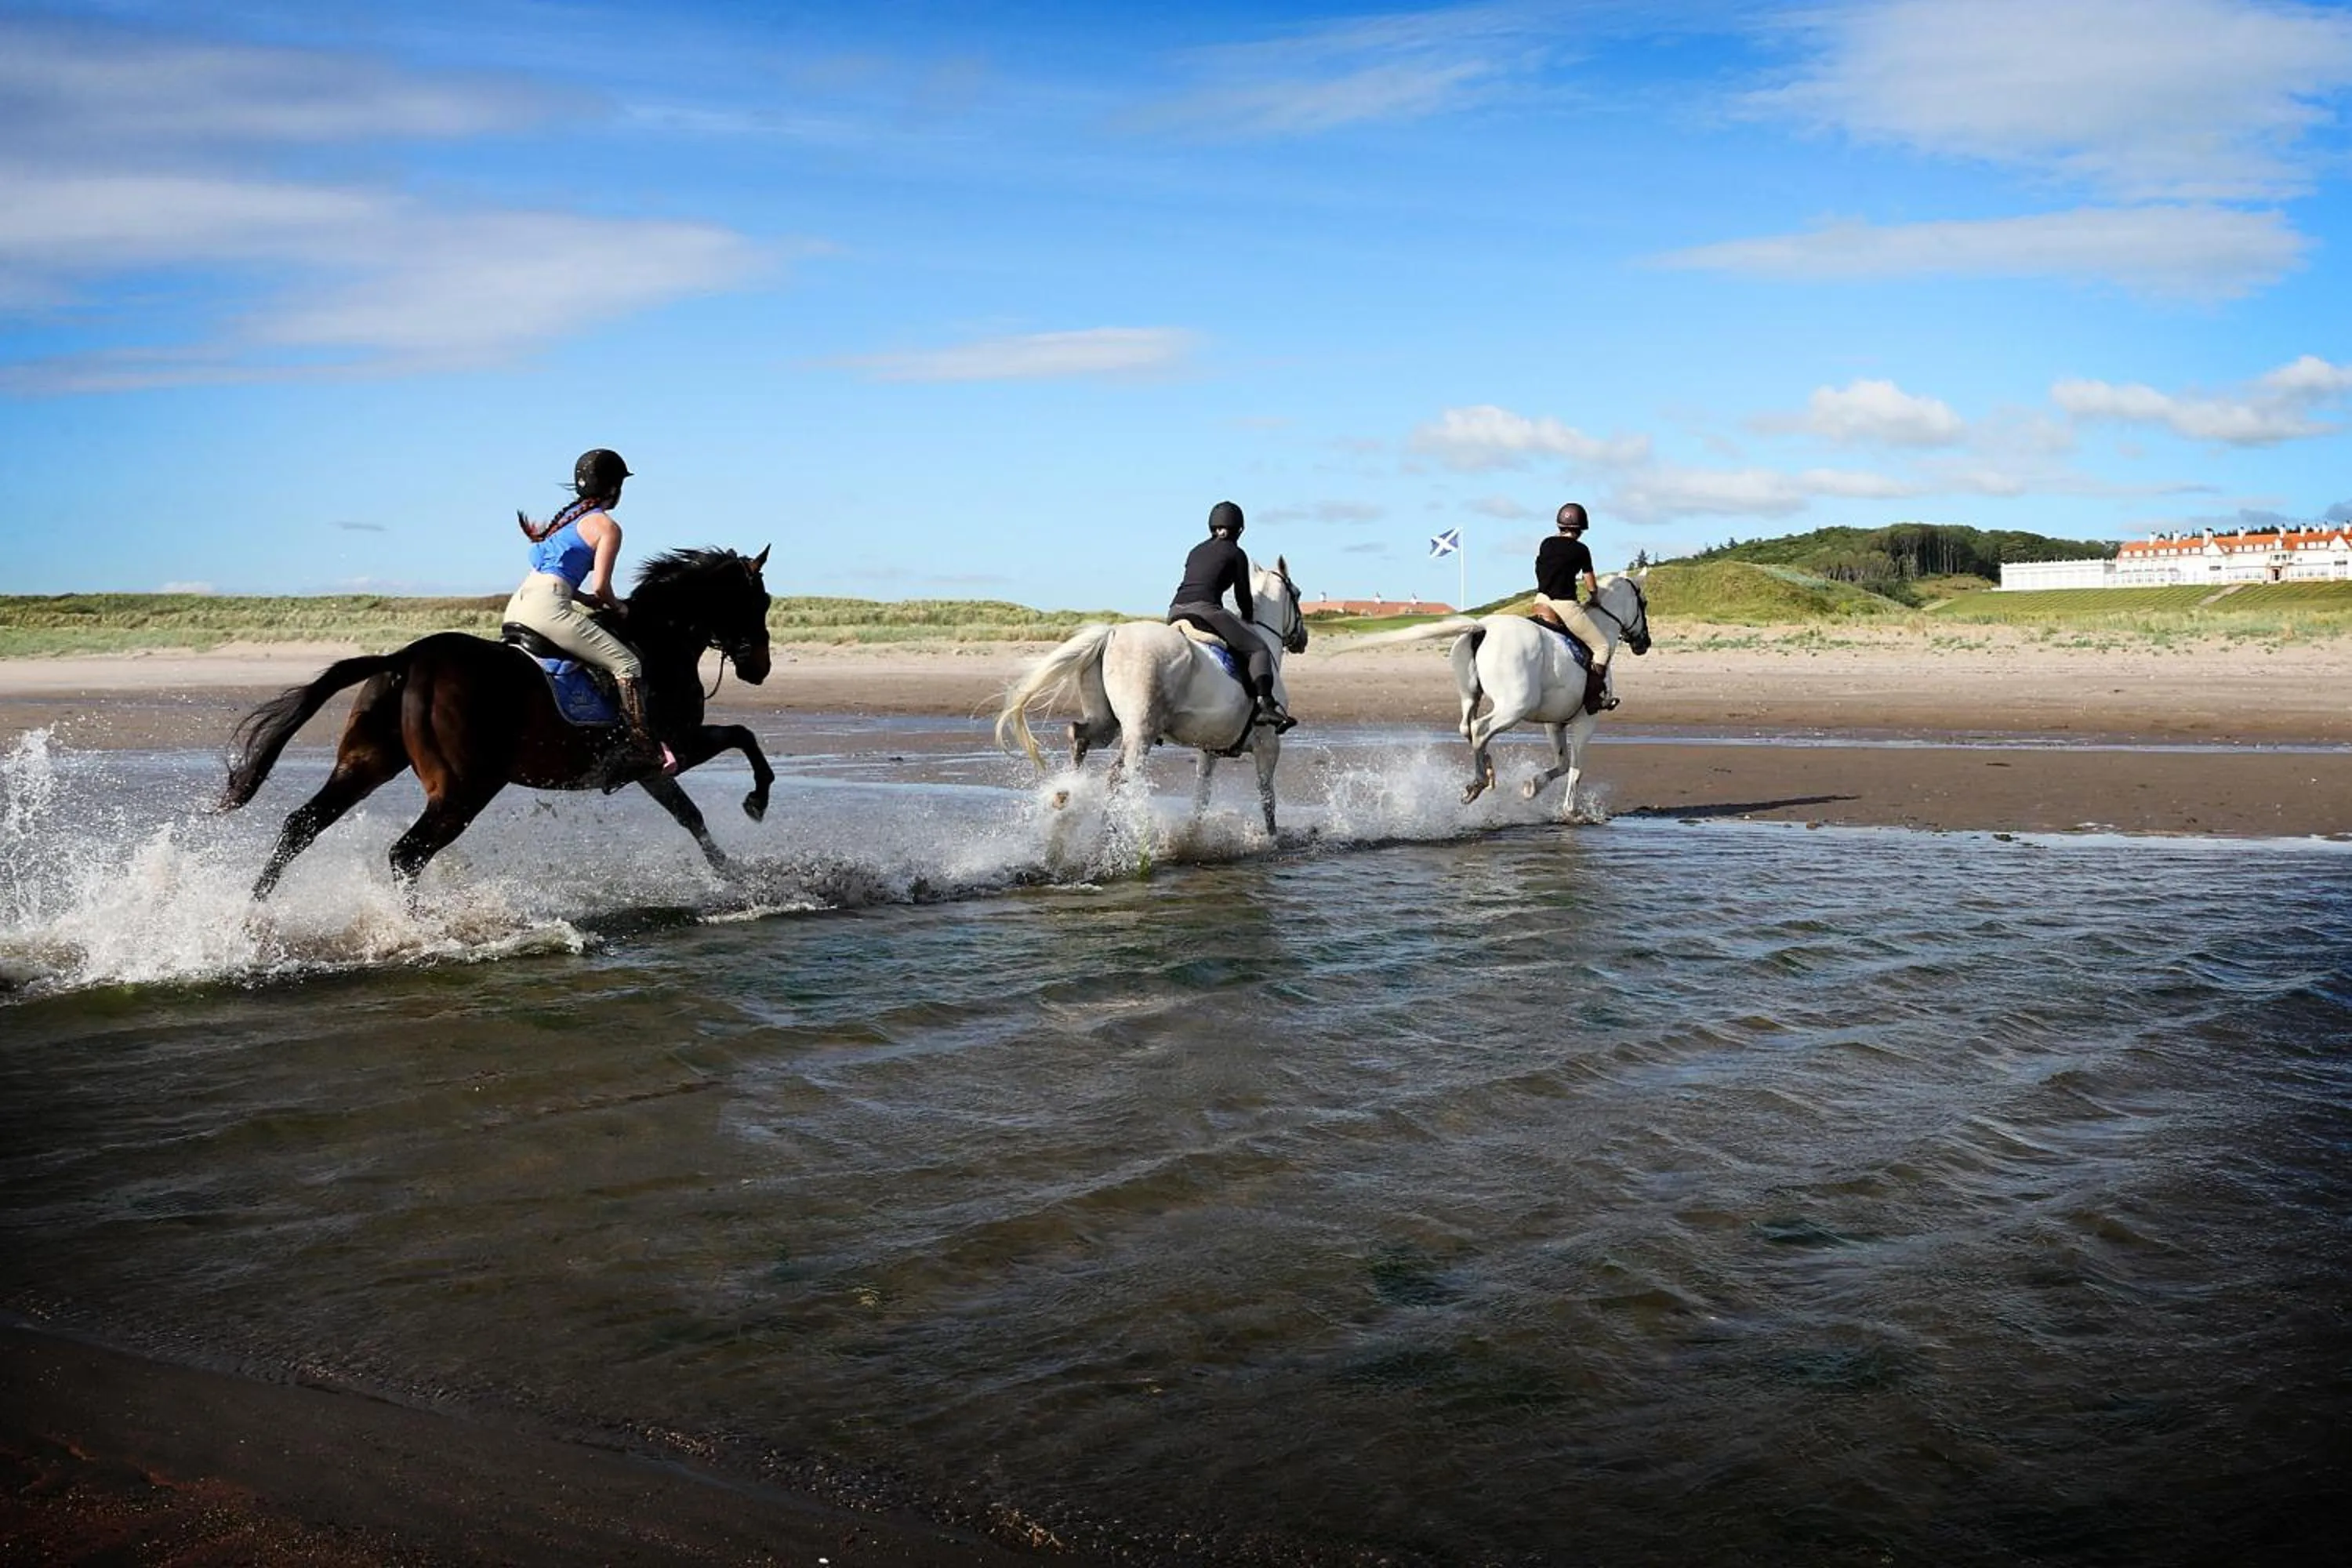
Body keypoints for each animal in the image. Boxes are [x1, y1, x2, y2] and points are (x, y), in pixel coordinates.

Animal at [219, 547, 777, 898]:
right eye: (761, 601)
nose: (760, 668)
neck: (660, 642)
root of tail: (406, 659)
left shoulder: (648, 770)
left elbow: (691, 817)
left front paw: (736, 879)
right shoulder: (675, 746)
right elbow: (742, 738)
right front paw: (756, 803)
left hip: (368, 763)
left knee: (301, 826)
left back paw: (252, 915)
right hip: (464, 789)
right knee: (406, 854)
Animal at [994, 558, 1308, 835]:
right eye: (1298, 594)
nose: (1302, 639)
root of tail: (1112, 634)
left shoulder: (1209, 748)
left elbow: (1201, 797)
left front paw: (1194, 836)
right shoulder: (1268, 745)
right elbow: (1267, 799)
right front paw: (1272, 840)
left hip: (1107, 724)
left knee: (1079, 736)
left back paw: (1067, 795)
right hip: (1140, 731)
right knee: (1123, 774)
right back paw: (1120, 832)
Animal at [1340, 570, 1650, 811]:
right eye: (1643, 602)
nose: (1644, 643)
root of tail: (1483, 626)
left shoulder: (1554, 722)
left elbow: (1562, 764)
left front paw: (1532, 787)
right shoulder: (1587, 719)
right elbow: (1575, 769)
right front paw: (1570, 811)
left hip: (1471, 695)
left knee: (1467, 727)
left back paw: (1488, 772)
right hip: (1514, 706)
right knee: (1480, 729)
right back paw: (1477, 783)